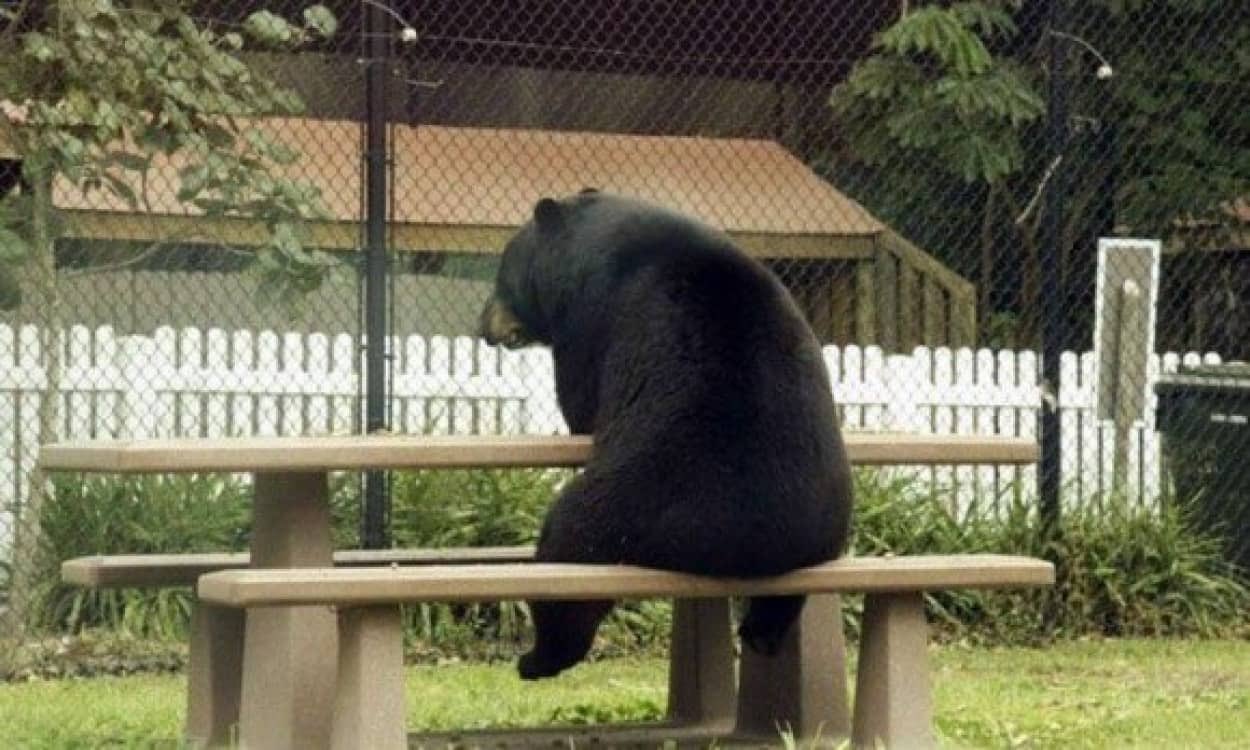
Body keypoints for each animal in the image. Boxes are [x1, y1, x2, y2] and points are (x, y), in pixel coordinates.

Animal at [479, 189, 853, 680]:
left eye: (503, 275)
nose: (483, 327)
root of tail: (738, 544)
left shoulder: (593, 317)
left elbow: (581, 400)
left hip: (631, 501)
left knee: (569, 552)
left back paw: (538, 659)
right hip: (817, 535)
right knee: (781, 601)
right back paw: (761, 634)